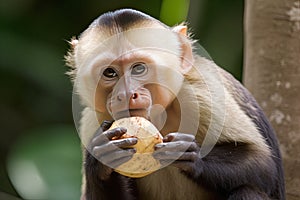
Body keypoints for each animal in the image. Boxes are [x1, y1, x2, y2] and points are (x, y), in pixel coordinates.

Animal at [65, 8, 284, 200]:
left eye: (138, 69)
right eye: (110, 73)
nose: (126, 94)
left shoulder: (200, 93)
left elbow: (263, 164)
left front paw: (191, 156)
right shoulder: (92, 120)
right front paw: (100, 157)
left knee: (248, 189)